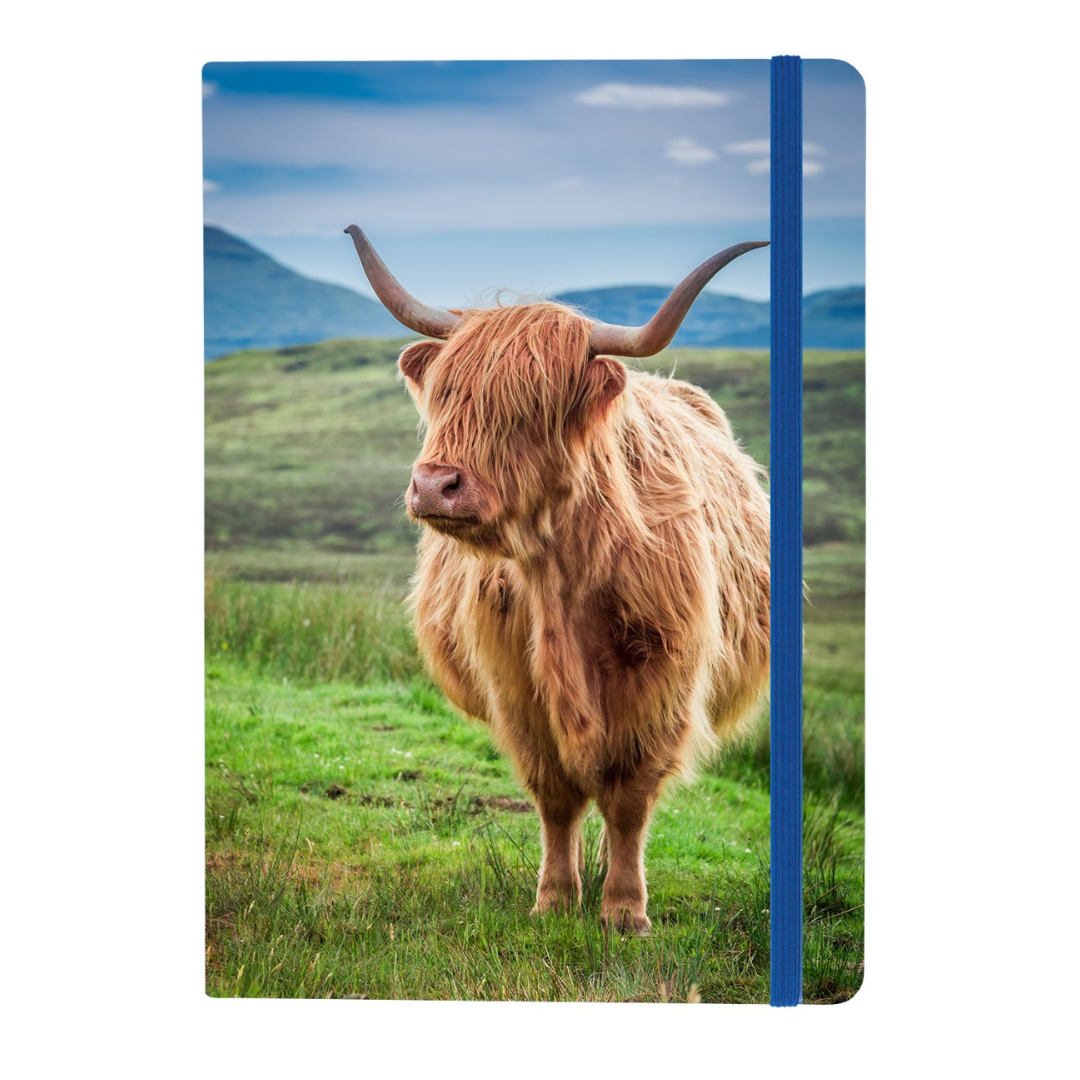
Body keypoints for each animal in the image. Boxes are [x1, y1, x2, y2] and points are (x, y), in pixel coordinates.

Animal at [345, 225, 770, 935]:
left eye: (531, 405)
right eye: (445, 394)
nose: (434, 485)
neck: (561, 579)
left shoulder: (662, 683)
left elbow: (629, 798)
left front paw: (624, 910)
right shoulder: (515, 686)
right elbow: (556, 796)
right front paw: (554, 899)